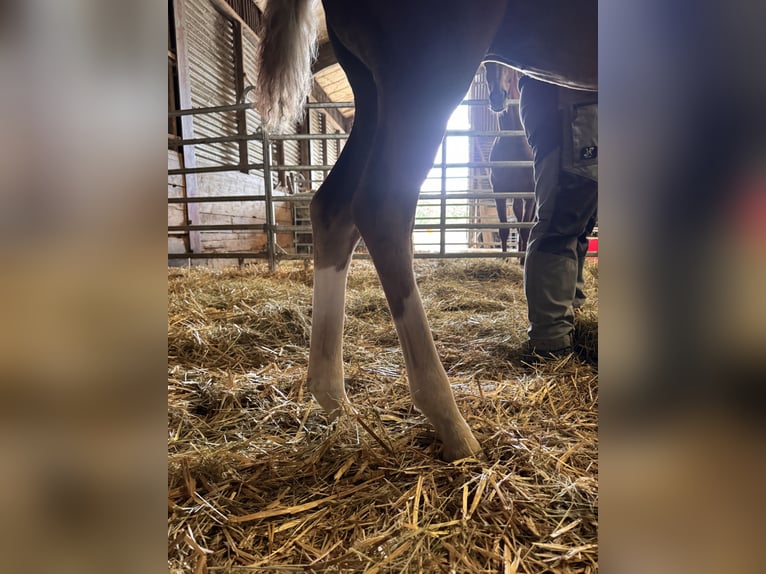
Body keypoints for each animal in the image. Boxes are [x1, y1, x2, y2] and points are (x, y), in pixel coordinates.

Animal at [484, 62, 535, 264]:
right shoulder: (500, 191)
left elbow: (525, 228)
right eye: (486, 66)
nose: (498, 98)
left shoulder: (530, 194)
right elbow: (504, 229)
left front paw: (522, 263)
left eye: (507, 67)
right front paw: (504, 260)